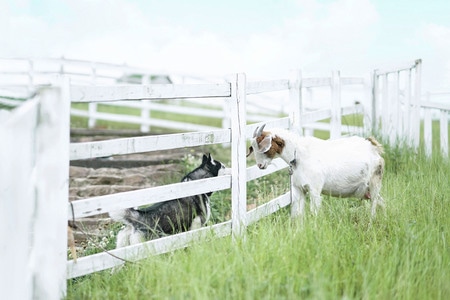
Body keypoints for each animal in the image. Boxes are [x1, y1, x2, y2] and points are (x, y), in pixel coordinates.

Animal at [248, 125, 384, 217]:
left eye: (260, 145)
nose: (260, 165)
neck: (298, 154)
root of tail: (373, 146)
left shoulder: (315, 190)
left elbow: (314, 213)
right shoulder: (298, 189)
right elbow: (299, 214)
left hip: (375, 181)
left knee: (374, 203)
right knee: (381, 201)